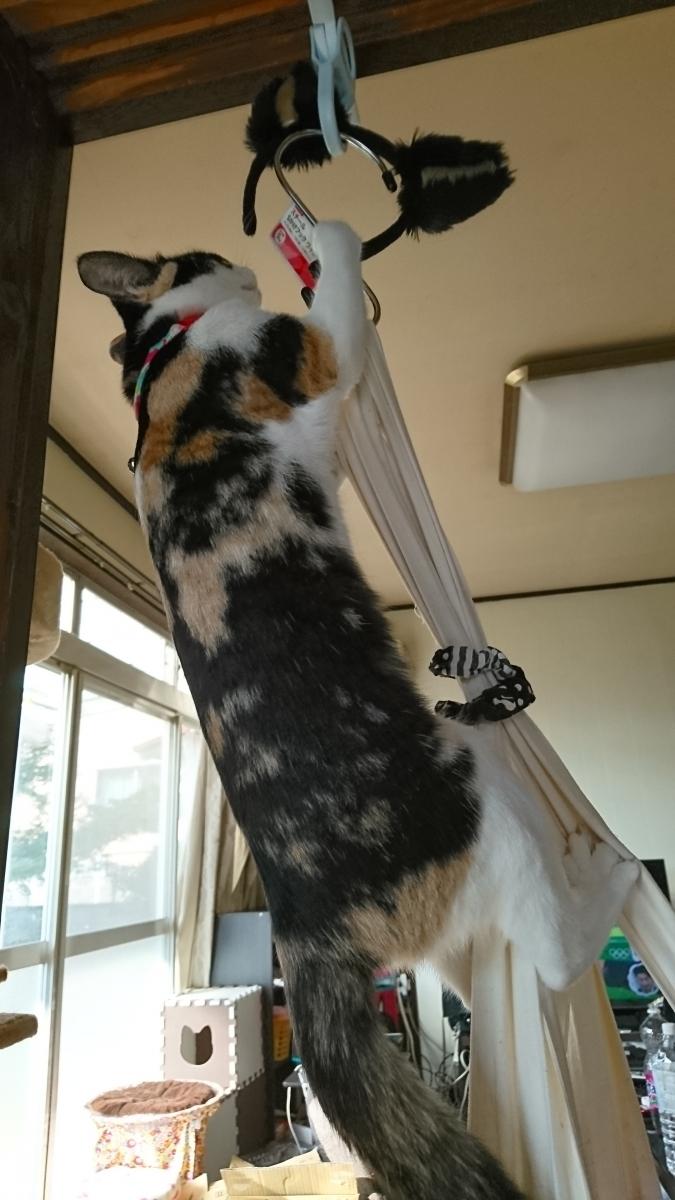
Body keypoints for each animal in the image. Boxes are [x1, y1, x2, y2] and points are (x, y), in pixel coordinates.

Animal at [79, 222, 638, 1200]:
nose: (238, 251)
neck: (170, 351)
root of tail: (301, 932)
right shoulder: (314, 351)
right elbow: (338, 293)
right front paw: (332, 235)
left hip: (452, 918)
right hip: (477, 798)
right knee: (555, 949)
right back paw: (613, 876)